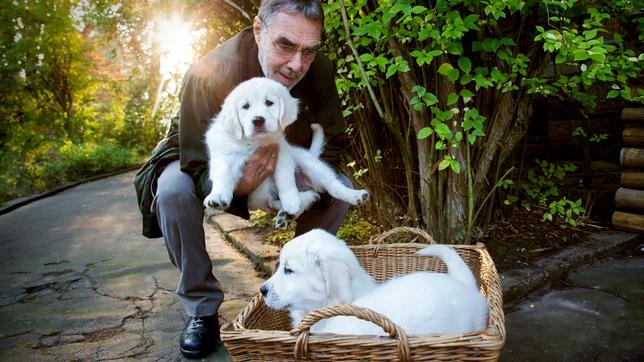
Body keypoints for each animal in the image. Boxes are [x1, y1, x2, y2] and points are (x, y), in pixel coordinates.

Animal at [204, 77, 370, 226]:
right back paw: (289, 212)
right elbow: (222, 175)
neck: (255, 143)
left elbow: (285, 179)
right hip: (259, 197)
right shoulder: (224, 156)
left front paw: (291, 201)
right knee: (279, 201)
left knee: (332, 187)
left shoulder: (282, 155)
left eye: (269, 103)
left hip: (311, 166)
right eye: (245, 106)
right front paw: (217, 196)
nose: (258, 120)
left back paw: (355, 195)